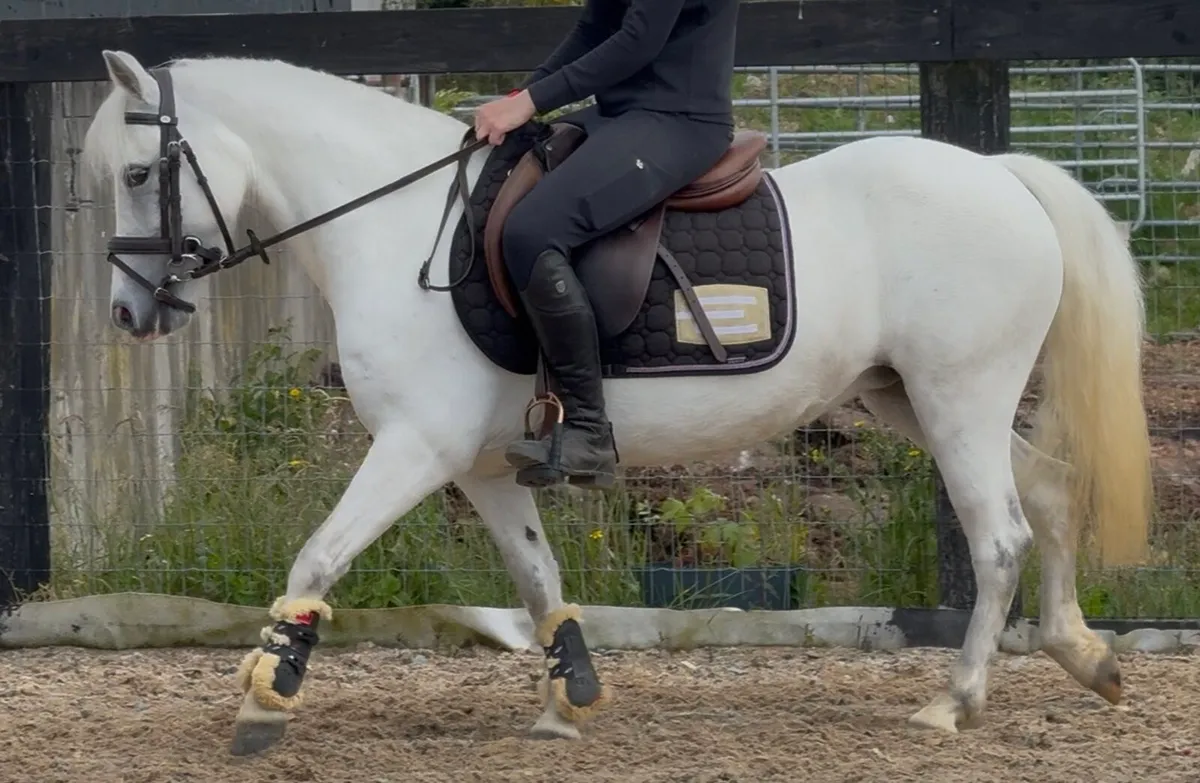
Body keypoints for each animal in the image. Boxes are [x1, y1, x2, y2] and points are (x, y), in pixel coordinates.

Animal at [83, 49, 1153, 756]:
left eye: (137, 174)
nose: (130, 313)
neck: (393, 225)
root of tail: (999, 175)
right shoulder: (481, 464)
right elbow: (537, 578)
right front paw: (571, 697)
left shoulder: (416, 447)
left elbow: (319, 551)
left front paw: (267, 692)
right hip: (915, 400)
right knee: (1049, 492)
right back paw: (1084, 655)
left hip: (958, 395)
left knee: (1000, 535)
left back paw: (958, 699)